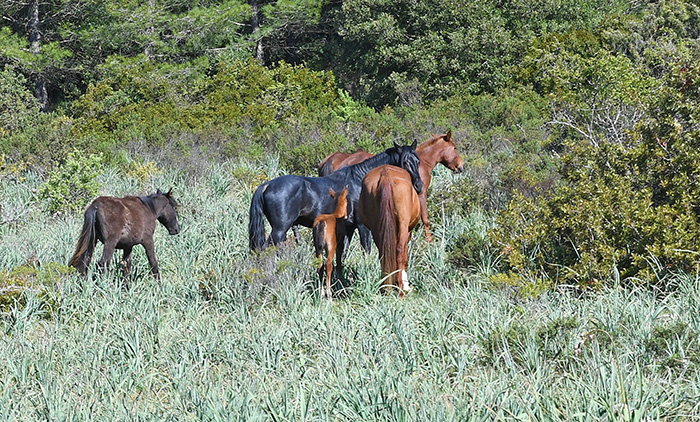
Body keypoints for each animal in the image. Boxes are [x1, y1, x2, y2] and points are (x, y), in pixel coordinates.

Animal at [249, 143, 424, 276]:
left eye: (417, 161)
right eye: (405, 162)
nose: (419, 185)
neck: (359, 181)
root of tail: (267, 186)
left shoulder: (348, 228)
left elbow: (343, 253)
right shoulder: (363, 227)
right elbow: (366, 250)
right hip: (279, 229)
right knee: (264, 250)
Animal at [360, 165, 422, 296]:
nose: (419, 185)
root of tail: (385, 176)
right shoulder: (407, 231)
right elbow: (404, 256)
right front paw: (405, 285)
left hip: (376, 227)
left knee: (382, 252)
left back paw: (386, 286)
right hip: (403, 224)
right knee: (399, 251)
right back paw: (401, 289)